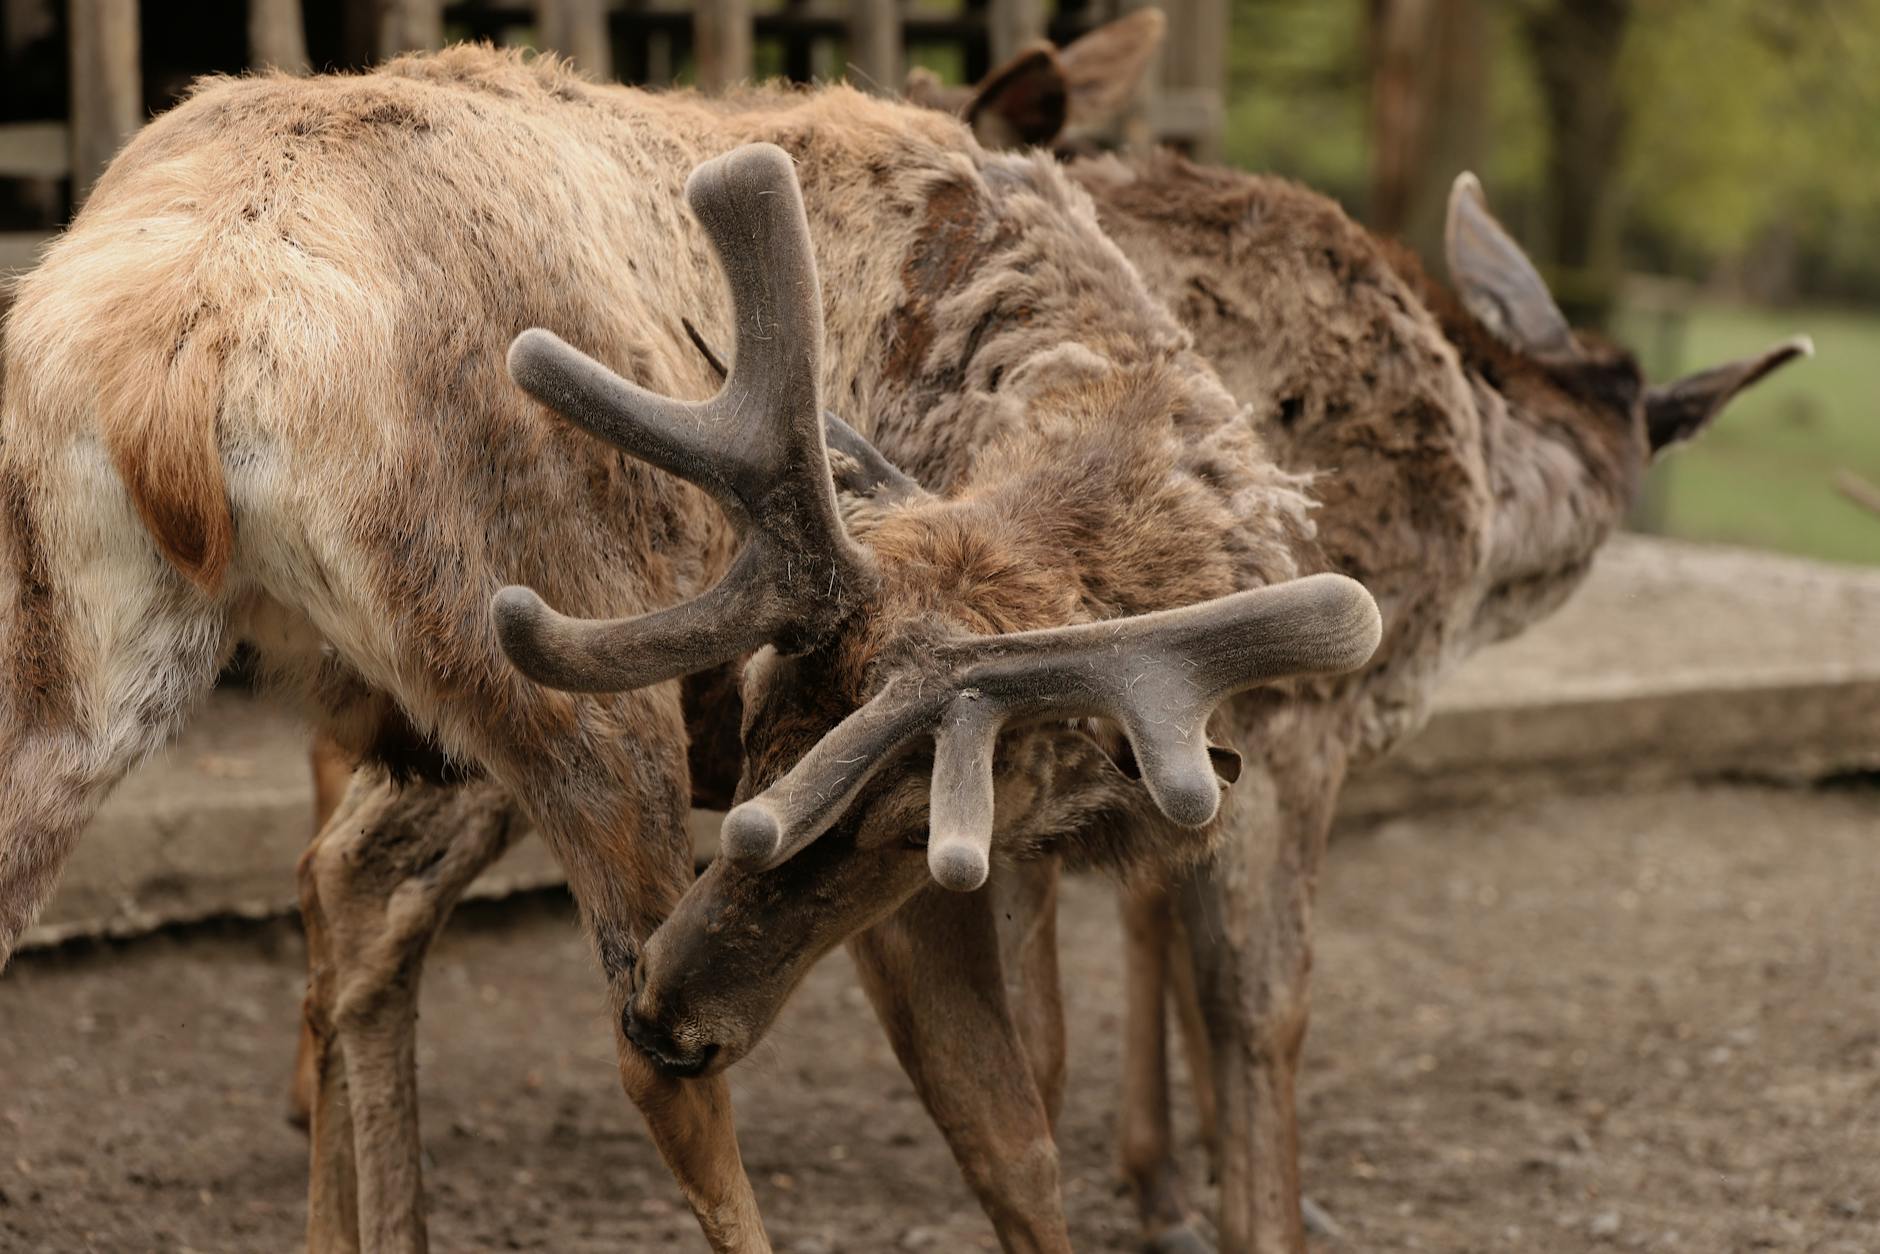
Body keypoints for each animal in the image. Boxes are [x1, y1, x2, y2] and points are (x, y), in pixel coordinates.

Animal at [0, 43, 1381, 1254]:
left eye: (784, 725)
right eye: (906, 832)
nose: (683, 1008)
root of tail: (198, 335)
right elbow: (1011, 1126)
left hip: (75, 641)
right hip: (561, 652)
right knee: (644, 1066)